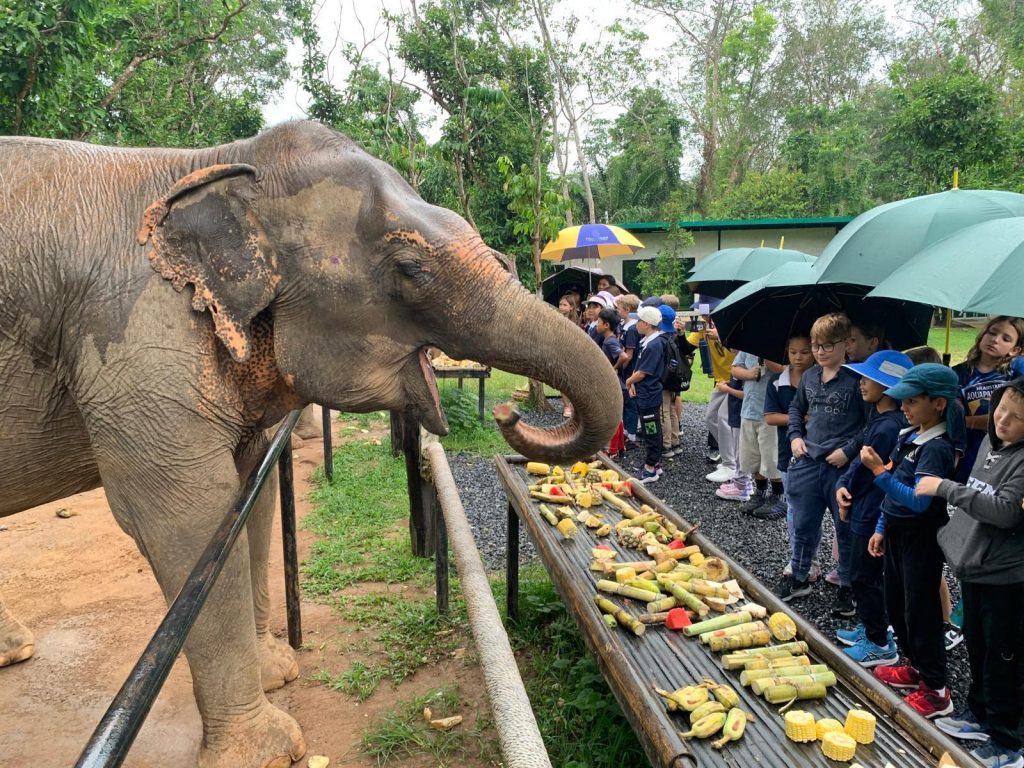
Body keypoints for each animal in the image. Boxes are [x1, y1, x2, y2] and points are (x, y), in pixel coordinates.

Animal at [0, 121, 622, 767]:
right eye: (410, 270)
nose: (506, 410)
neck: (219, 164)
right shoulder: (135, 341)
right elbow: (187, 515)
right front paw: (269, 751)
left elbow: (247, 496)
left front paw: (277, 672)